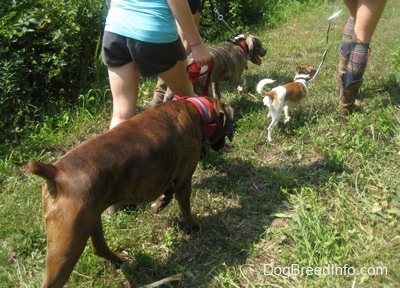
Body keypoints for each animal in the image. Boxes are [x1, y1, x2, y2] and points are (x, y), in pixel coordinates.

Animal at [26, 97, 234, 288]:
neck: (198, 110)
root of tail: (55, 172)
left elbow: (168, 192)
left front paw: (160, 204)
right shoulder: (183, 181)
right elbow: (185, 207)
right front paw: (192, 225)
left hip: (91, 219)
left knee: (99, 248)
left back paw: (119, 259)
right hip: (67, 248)